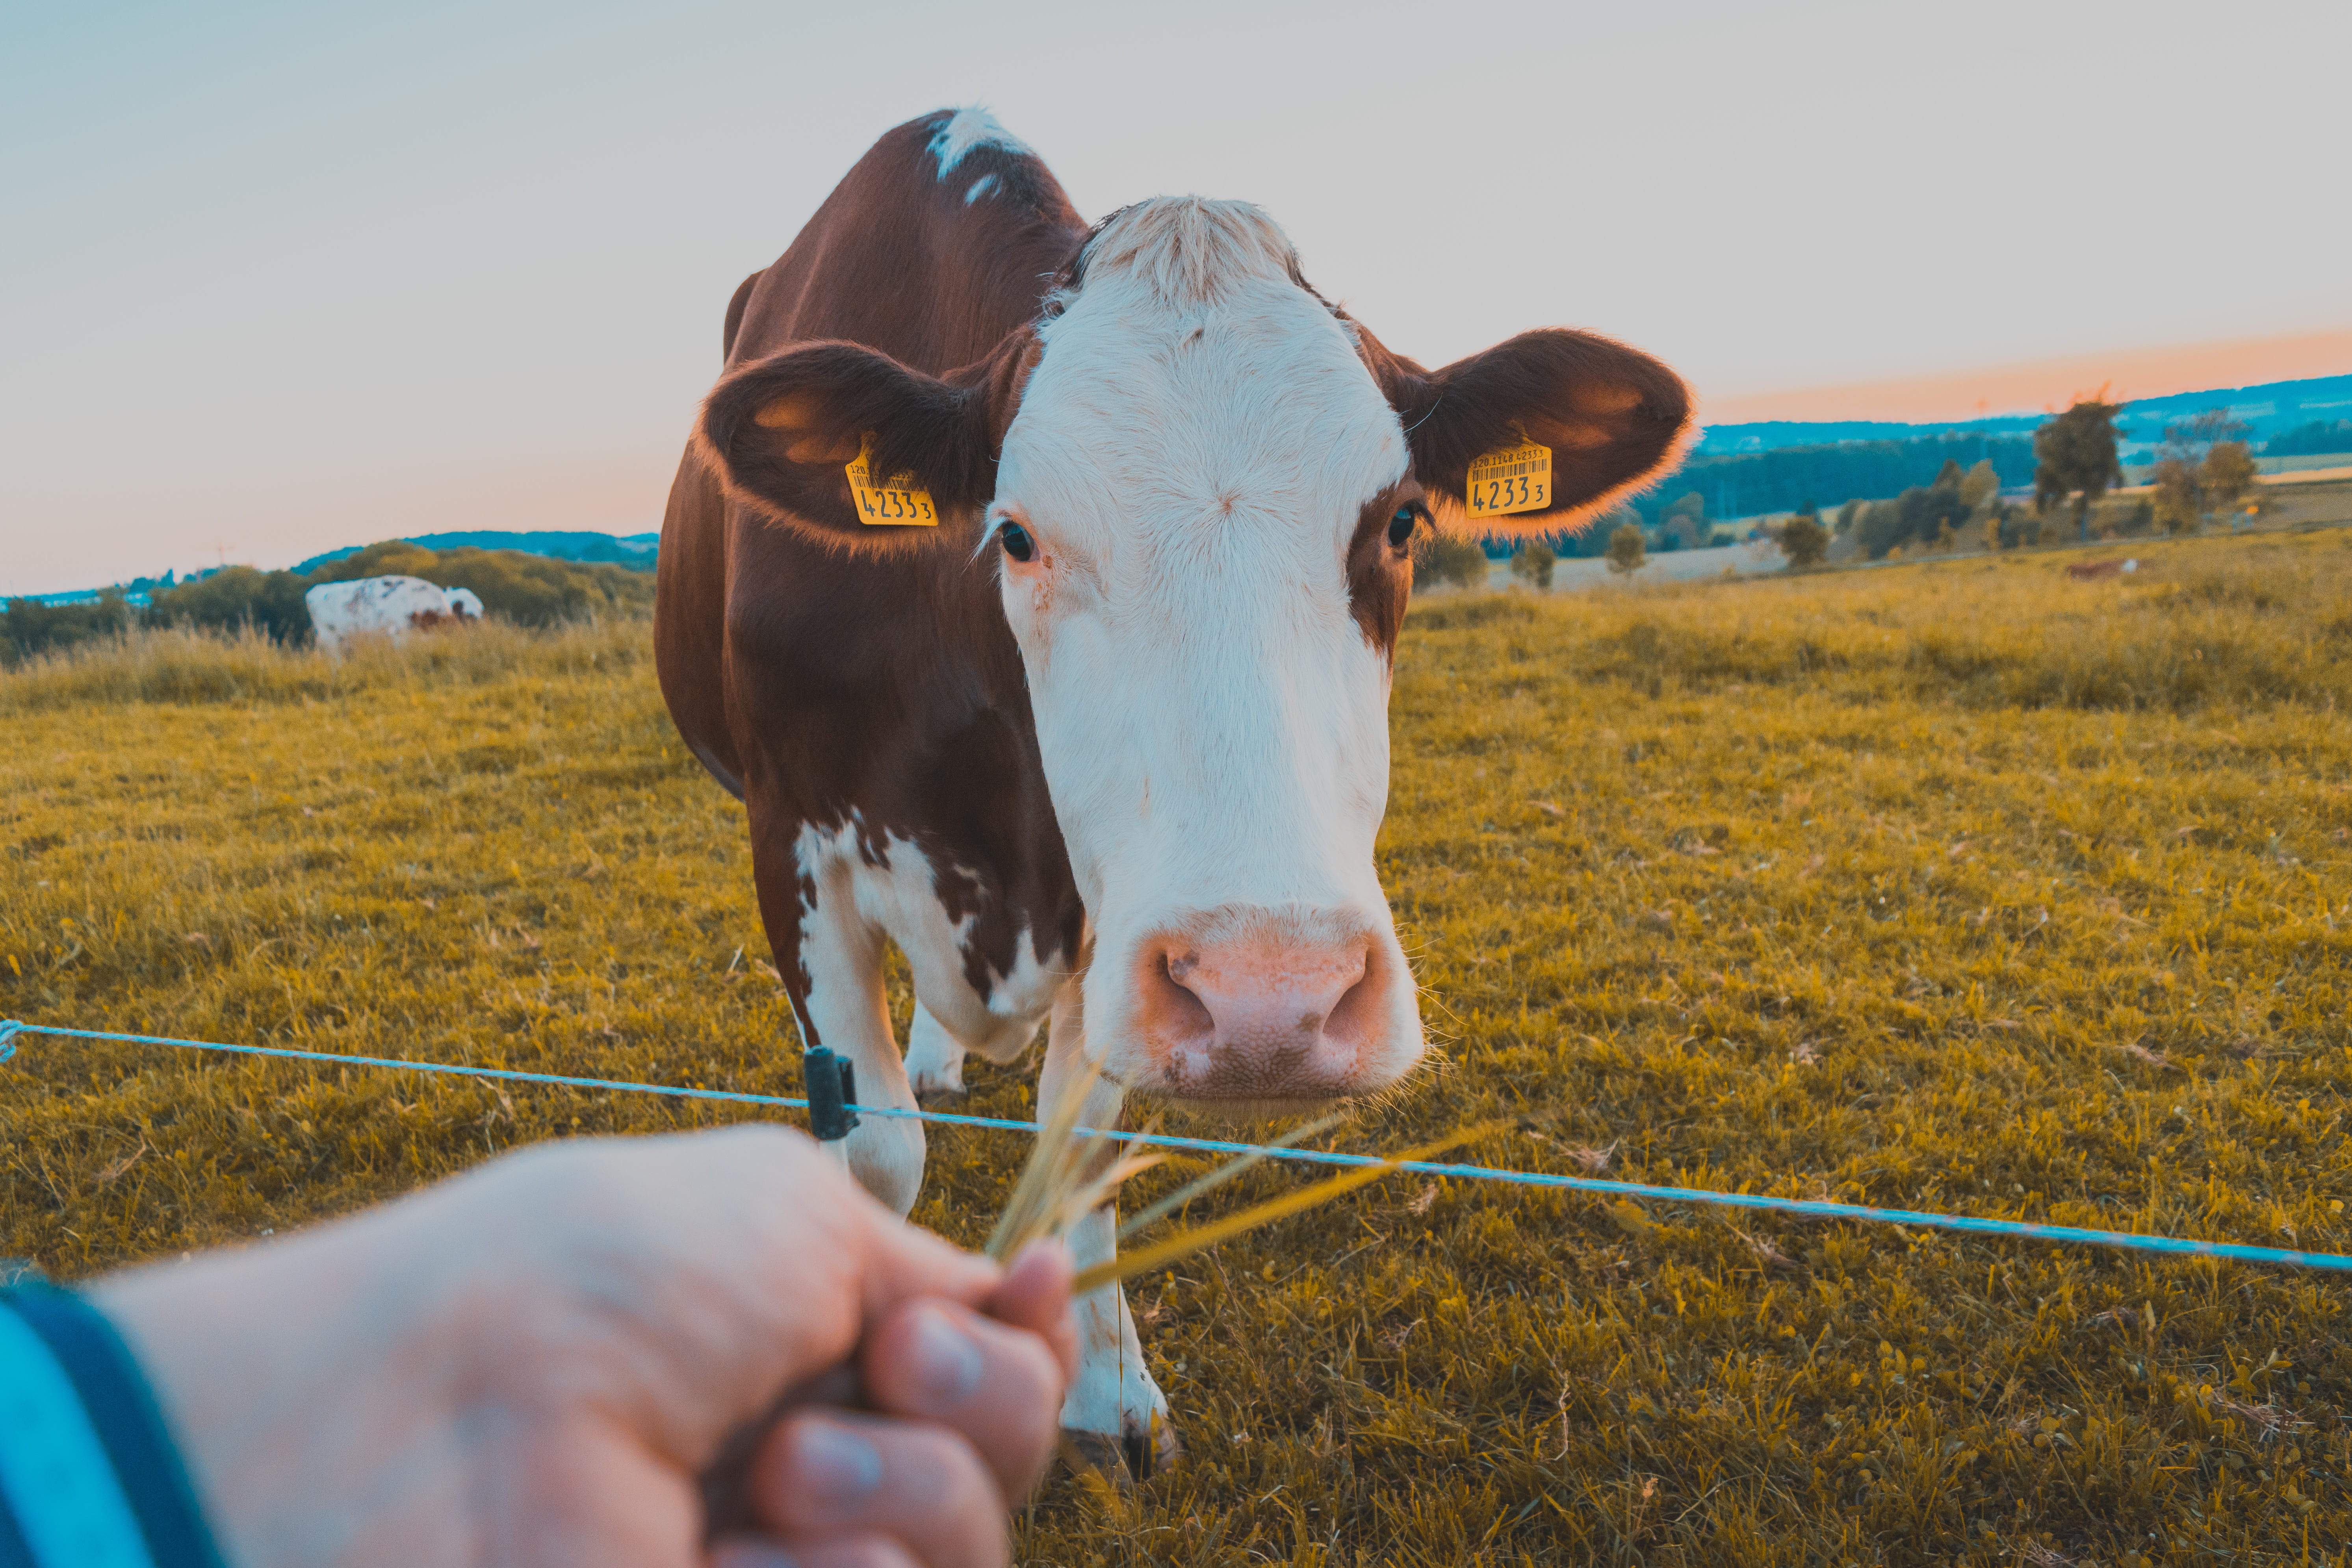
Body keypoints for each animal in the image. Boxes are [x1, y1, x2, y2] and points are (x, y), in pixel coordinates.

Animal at [655, 108, 1691, 1471]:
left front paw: (1104, 1390)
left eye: (1401, 523)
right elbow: (876, 1152)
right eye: (1016, 534)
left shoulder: (1116, 907)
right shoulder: (790, 839)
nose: (1272, 998)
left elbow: (1082, 1139)